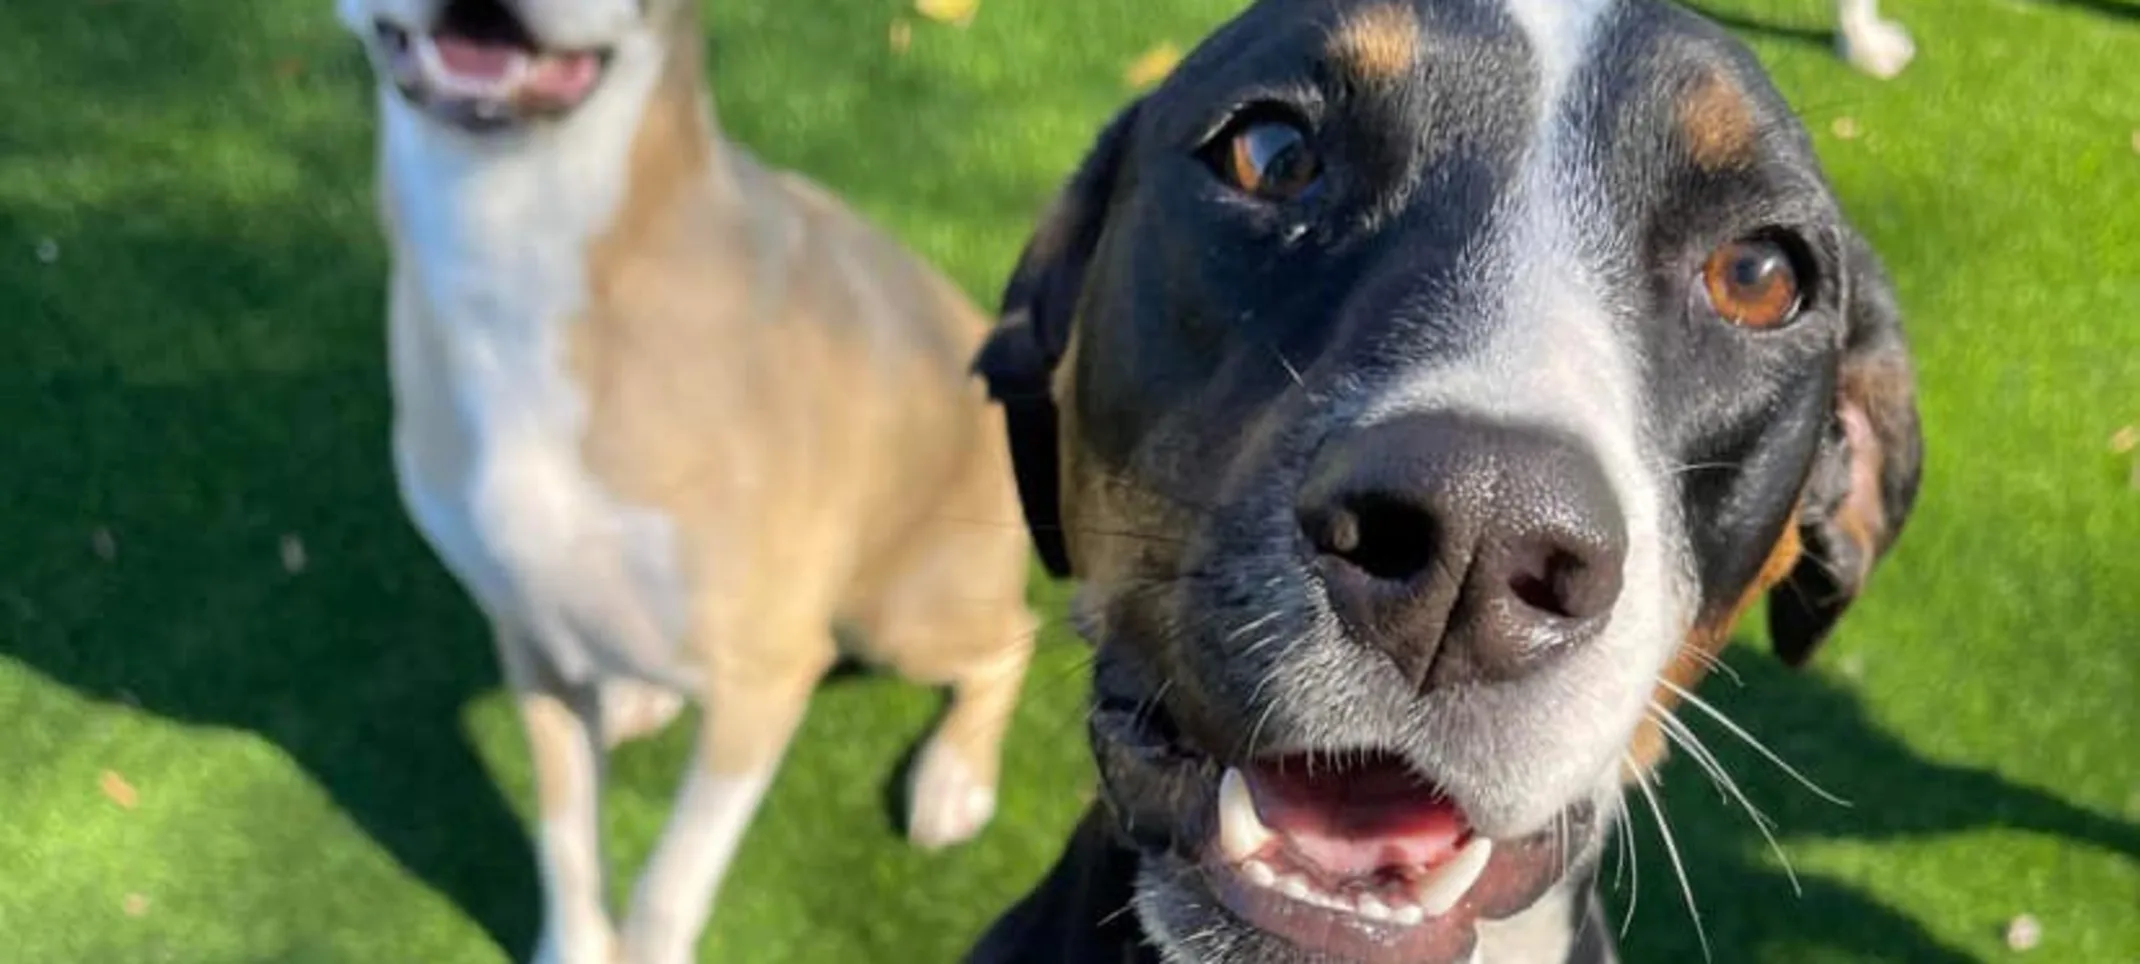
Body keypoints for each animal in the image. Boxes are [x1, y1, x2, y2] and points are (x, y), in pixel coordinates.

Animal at [335, 1, 1035, 964]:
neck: (517, 246)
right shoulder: (526, 636)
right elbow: (566, 839)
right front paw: (575, 948)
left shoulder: (764, 679)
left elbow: (672, 880)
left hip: (902, 612)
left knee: (1013, 639)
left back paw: (955, 774)